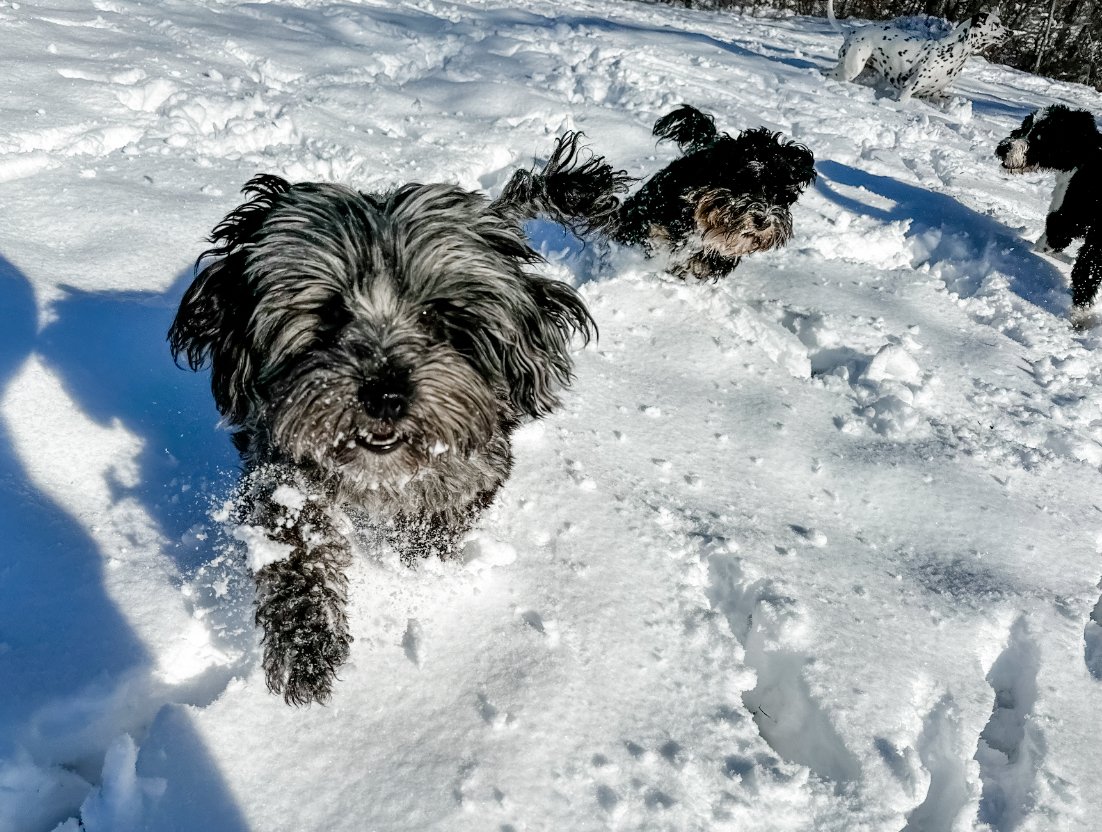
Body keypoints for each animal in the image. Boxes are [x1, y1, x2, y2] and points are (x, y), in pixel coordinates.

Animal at [167, 134, 625, 700]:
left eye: (435, 315)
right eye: (330, 313)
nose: (385, 394)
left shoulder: (476, 466)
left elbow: (436, 522)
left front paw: (413, 564)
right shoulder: (280, 461)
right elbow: (297, 537)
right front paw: (306, 640)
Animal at [828, 0, 1009, 102]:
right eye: (996, 24)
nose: (1011, 32)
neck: (952, 52)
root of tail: (851, 31)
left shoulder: (935, 93)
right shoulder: (908, 89)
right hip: (849, 71)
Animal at [1000, 104, 1102, 312]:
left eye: (1040, 135)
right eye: (1026, 126)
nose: (1002, 148)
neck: (1084, 153)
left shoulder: (1065, 219)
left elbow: (1047, 244)